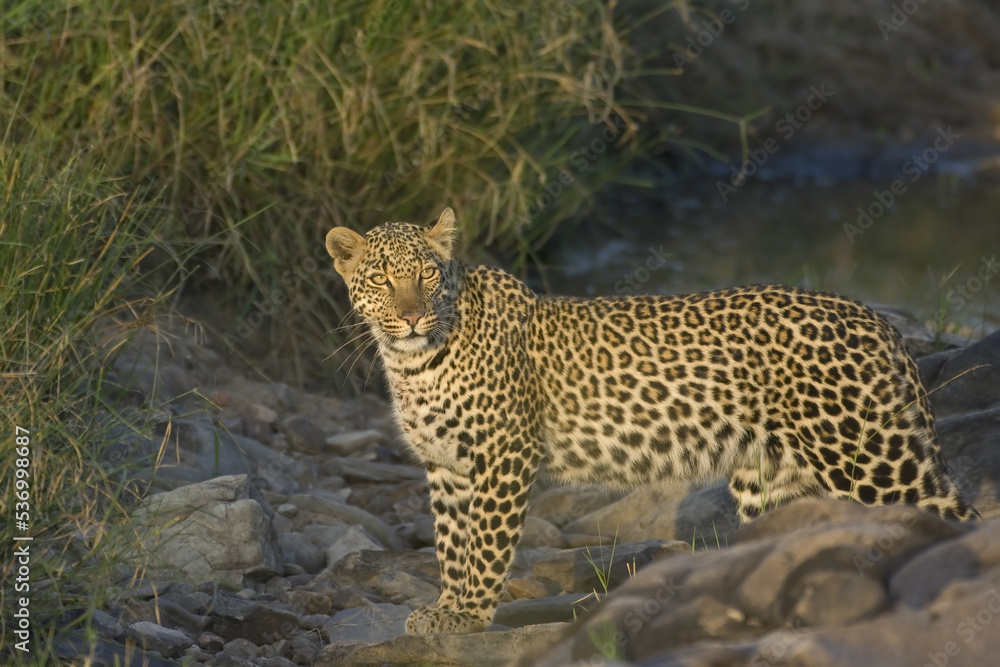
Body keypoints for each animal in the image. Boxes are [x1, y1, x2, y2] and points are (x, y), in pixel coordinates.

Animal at [324, 207, 978, 635]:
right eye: (381, 279)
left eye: (427, 274)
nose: (412, 315)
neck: (413, 361)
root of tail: (875, 318)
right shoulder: (447, 468)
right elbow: (451, 544)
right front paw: (446, 608)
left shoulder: (502, 456)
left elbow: (485, 543)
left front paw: (468, 615)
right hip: (773, 477)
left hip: (870, 457)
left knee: (952, 518)